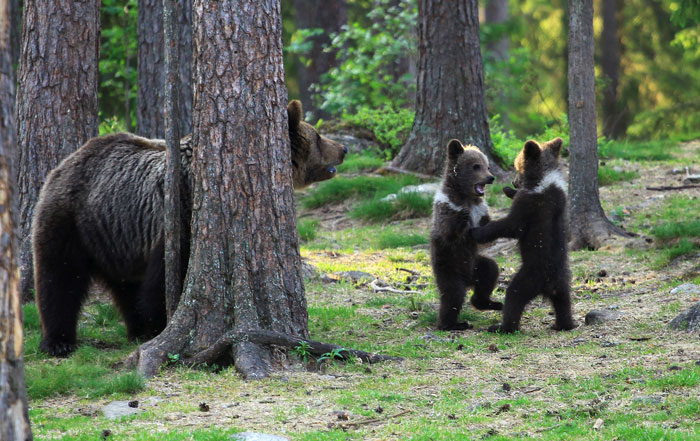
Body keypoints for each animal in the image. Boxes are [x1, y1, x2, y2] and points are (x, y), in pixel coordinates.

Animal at [33, 100, 346, 357]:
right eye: (318, 137)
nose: (343, 149)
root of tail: (66, 161)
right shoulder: (178, 218)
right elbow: (164, 279)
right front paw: (160, 325)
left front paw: (151, 327)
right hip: (72, 220)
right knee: (59, 276)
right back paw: (59, 341)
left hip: (116, 236)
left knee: (125, 286)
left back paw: (135, 329)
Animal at [431, 139, 503, 331]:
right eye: (476, 166)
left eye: (487, 166)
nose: (490, 177)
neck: (466, 197)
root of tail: (468, 280)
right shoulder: (444, 206)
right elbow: (448, 231)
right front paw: (462, 217)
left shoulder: (481, 210)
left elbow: (486, 237)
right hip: (448, 267)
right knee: (453, 294)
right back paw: (454, 324)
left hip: (476, 264)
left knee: (490, 271)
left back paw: (489, 303)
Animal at [469, 137, 575, 333]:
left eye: (517, 167)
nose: (513, 182)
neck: (542, 179)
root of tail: (550, 283)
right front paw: (507, 190)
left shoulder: (530, 204)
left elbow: (512, 225)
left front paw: (477, 231)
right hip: (563, 281)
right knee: (564, 302)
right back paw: (563, 324)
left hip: (529, 276)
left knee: (514, 295)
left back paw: (502, 326)